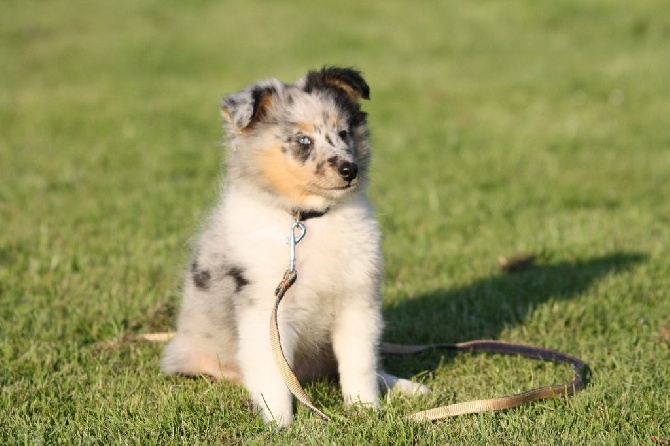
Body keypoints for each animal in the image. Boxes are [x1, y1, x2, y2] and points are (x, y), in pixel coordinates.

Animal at [163, 66, 430, 426]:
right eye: (303, 140)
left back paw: (408, 387)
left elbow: (359, 363)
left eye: (344, 132)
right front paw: (280, 424)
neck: (307, 220)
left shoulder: (357, 300)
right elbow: (274, 378)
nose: (350, 169)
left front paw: (364, 411)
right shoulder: (266, 310)